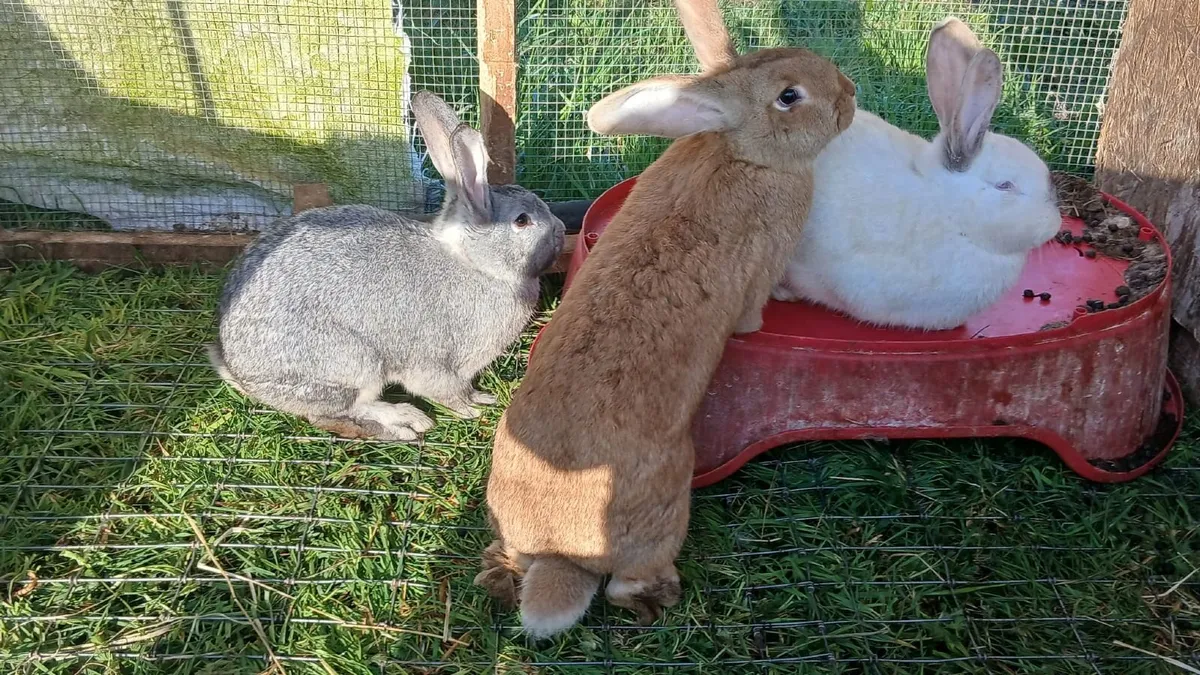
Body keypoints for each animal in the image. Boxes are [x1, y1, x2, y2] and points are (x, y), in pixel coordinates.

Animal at [208, 90, 565, 440]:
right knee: (339, 411)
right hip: (352, 364)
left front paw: (479, 400)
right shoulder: (434, 362)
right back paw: (405, 422)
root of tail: (239, 370)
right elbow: (447, 390)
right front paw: (473, 407)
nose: (561, 229)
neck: (476, 264)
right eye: (522, 220)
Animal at [473, 0, 856, 639]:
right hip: (670, 503)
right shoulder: (765, 261)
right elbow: (756, 306)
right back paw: (655, 599)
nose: (849, 96)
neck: (740, 149)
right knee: (627, 580)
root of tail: (563, 554)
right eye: (789, 95)